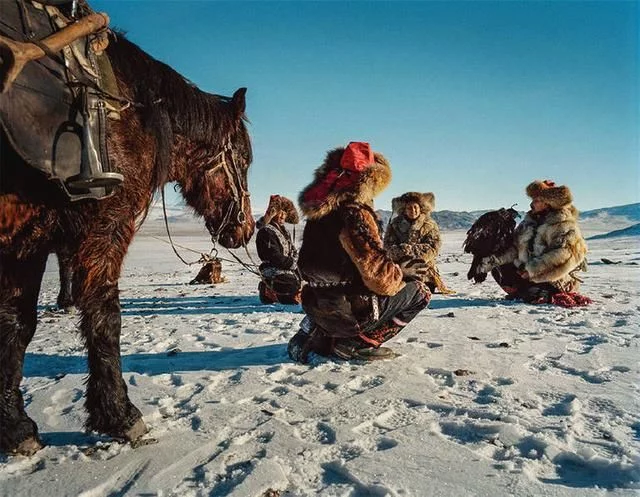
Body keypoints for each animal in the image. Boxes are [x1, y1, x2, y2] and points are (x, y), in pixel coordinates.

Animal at [0, 33, 255, 456]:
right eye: (245, 160)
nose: (246, 229)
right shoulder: (106, 228)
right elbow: (105, 318)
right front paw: (120, 415)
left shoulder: (27, 243)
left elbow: (16, 324)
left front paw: (15, 426)